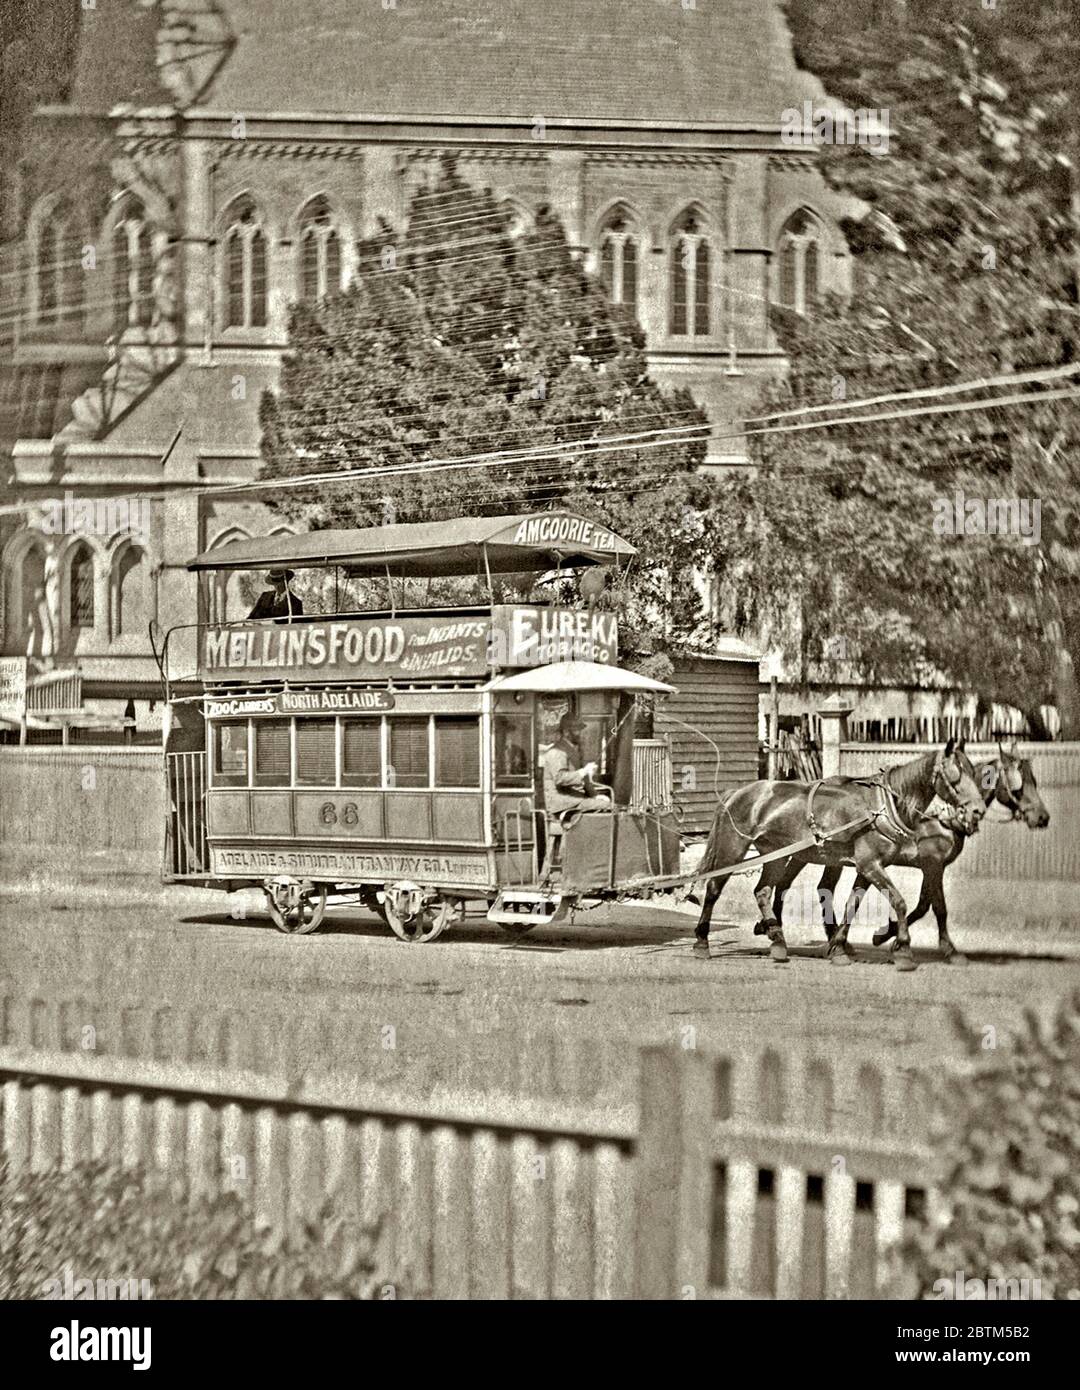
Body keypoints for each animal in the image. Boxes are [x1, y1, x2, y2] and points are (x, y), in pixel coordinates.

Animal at [692, 745, 984, 973]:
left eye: (974, 772)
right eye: (955, 776)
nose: (977, 811)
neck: (882, 807)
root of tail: (736, 792)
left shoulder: (869, 867)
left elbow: (852, 905)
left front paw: (839, 947)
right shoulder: (872, 865)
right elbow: (900, 902)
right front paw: (902, 950)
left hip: (775, 853)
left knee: (763, 890)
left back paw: (777, 941)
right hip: (733, 848)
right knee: (714, 888)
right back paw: (702, 942)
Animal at [772, 745, 1050, 961]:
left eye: (1035, 781)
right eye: (1018, 785)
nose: (1042, 817)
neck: (942, 819)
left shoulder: (930, 867)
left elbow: (923, 904)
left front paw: (888, 934)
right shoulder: (932, 864)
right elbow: (937, 907)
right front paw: (943, 948)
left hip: (825, 857)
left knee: (816, 887)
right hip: (807, 854)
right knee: (790, 884)